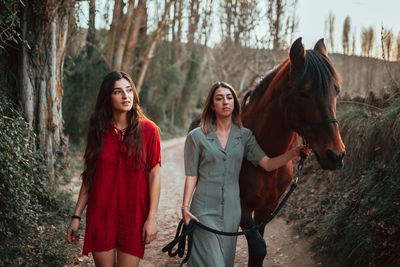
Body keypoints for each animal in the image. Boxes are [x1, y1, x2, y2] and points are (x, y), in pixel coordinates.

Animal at [239, 37, 346, 266]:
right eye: (303, 93)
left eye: (336, 90)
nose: (336, 155)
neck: (265, 157)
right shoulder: (241, 206)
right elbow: (258, 246)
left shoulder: (267, 208)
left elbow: (258, 246)